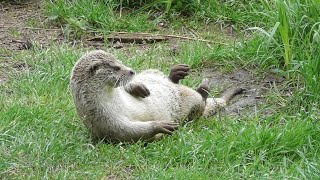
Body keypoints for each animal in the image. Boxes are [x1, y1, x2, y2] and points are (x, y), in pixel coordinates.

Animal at [69, 50, 241, 143]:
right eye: (116, 68)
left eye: (120, 62)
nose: (131, 71)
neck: (113, 101)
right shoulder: (106, 122)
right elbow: (131, 131)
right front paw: (160, 126)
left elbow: (129, 86)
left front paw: (137, 87)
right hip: (191, 107)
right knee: (200, 106)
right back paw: (203, 88)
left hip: (152, 72)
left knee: (163, 77)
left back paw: (176, 73)